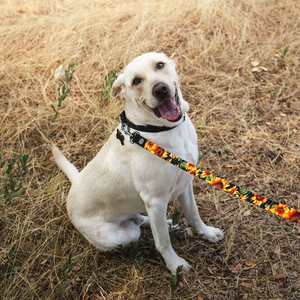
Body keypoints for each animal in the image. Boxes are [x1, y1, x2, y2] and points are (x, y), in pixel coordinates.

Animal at [52, 52, 224, 274]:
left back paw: (168, 224)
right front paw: (174, 264)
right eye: (136, 81)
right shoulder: (156, 200)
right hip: (123, 235)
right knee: (140, 226)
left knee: (143, 219)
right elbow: (163, 242)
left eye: (160, 65)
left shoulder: (185, 183)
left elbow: (193, 214)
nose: (160, 89)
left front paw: (207, 233)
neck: (162, 130)